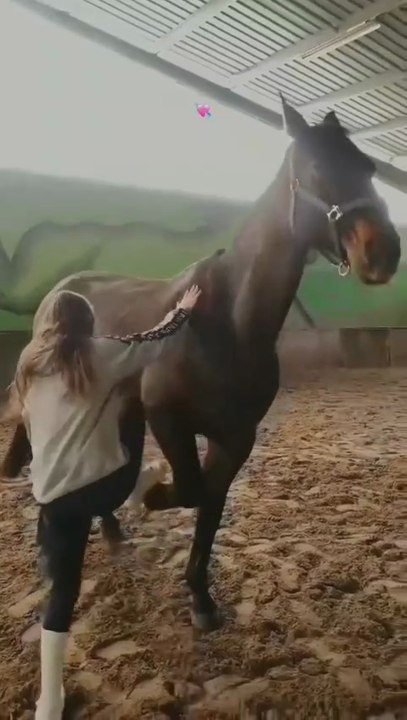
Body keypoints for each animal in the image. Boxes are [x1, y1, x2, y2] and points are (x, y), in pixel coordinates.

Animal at [2, 97, 400, 631]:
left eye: (368, 167)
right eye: (317, 169)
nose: (383, 253)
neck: (227, 321)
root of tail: (62, 290)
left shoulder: (236, 435)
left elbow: (211, 500)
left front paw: (201, 597)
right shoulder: (170, 420)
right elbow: (191, 490)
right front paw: (153, 498)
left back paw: (110, 529)